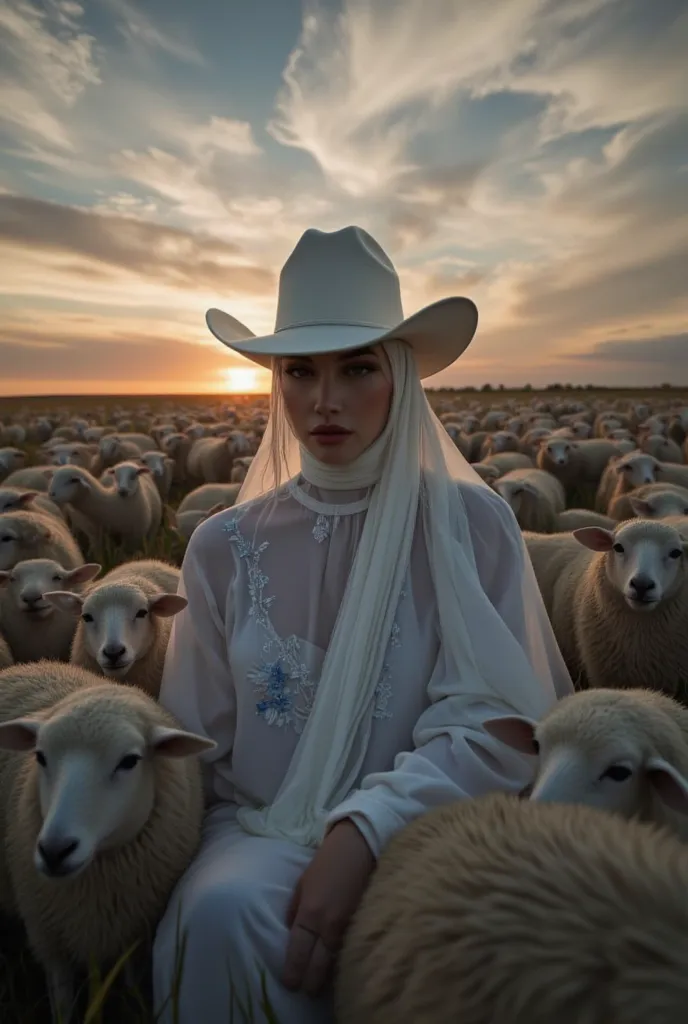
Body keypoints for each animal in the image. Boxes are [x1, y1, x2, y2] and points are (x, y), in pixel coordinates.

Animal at [0, 659, 215, 1019]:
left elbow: (129, 991)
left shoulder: (133, 932)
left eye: (129, 761)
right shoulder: (48, 937)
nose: (54, 850)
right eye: (40, 756)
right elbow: (62, 1005)